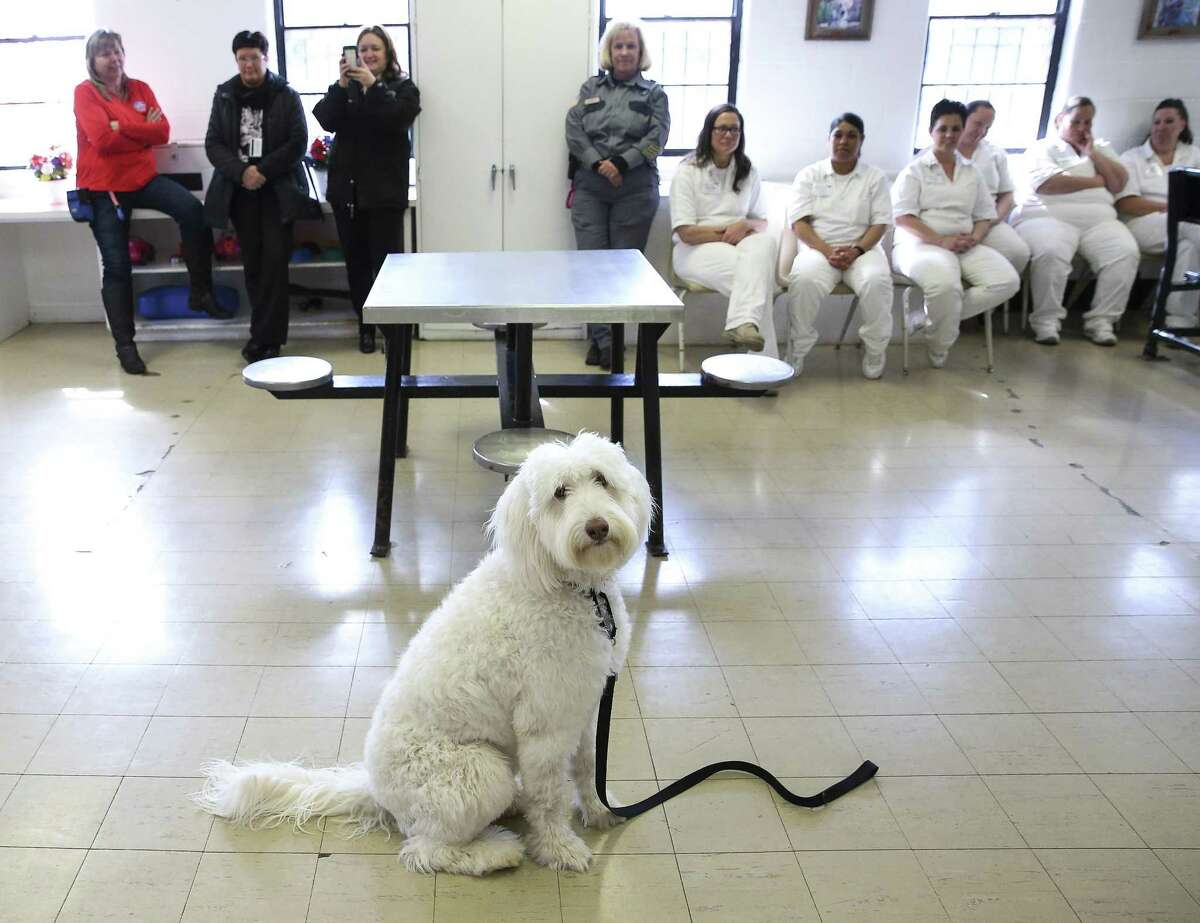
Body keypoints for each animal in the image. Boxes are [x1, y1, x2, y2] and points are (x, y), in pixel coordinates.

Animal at [193, 427, 652, 873]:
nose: (597, 527)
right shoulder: (546, 727)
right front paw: (560, 848)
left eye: (601, 480)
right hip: (478, 774)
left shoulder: (584, 708)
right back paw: (494, 852)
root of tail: (376, 792)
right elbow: (550, 797)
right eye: (559, 493)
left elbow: (588, 767)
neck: (577, 591)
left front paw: (600, 811)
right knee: (426, 850)